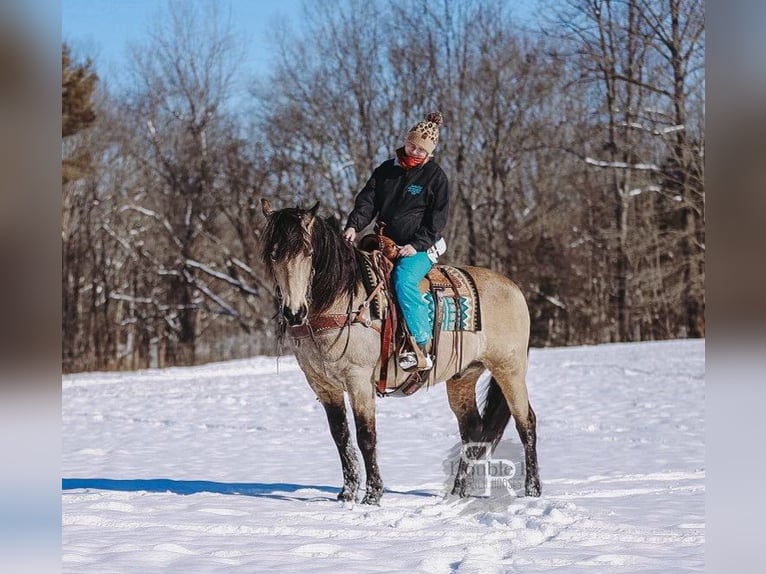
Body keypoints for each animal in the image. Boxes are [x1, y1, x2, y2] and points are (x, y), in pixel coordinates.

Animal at [260, 200, 544, 506]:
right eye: (274, 254)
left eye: (309, 252)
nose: (294, 312)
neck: (342, 299)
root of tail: (513, 288)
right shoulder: (323, 385)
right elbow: (340, 436)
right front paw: (346, 494)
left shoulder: (358, 380)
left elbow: (365, 435)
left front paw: (372, 495)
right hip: (463, 377)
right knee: (472, 430)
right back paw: (457, 494)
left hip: (509, 369)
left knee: (526, 422)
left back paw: (532, 491)